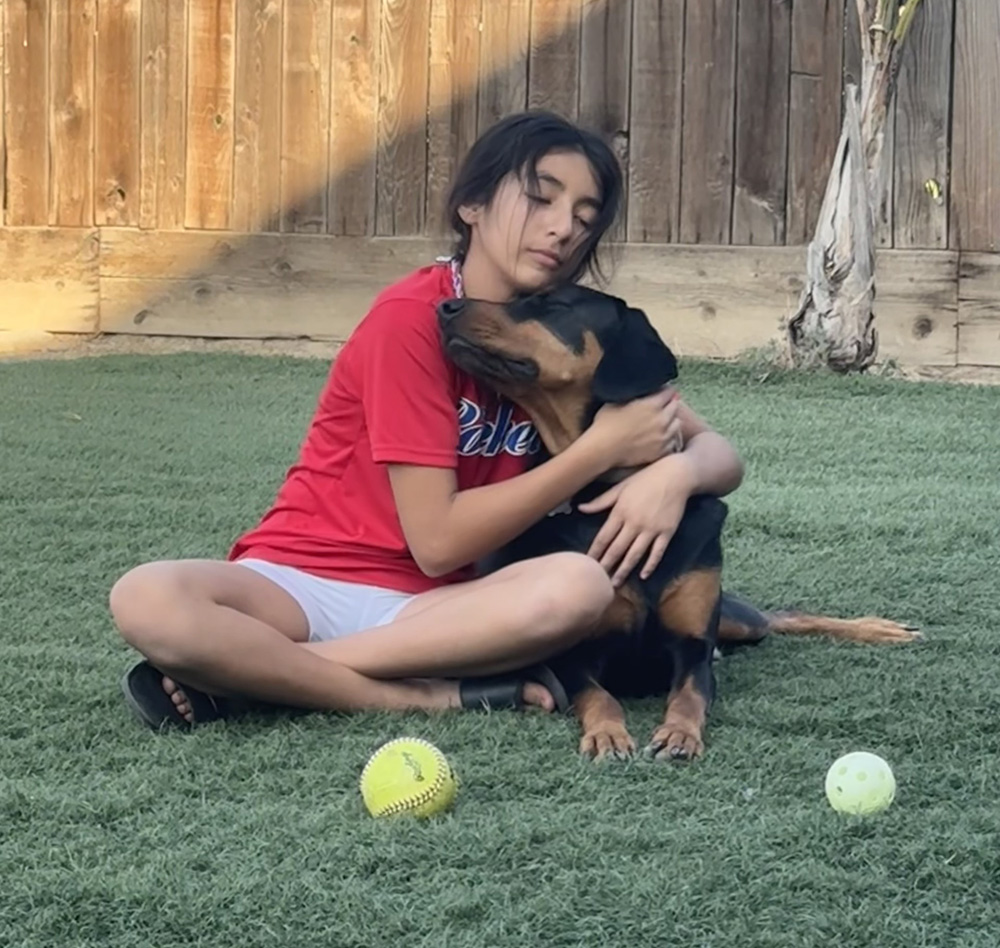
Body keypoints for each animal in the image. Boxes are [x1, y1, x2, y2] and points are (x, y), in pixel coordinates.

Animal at [438, 282, 920, 764]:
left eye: (552, 303)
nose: (446, 307)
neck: (615, 488)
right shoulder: (574, 658)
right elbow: (599, 696)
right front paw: (608, 735)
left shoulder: (693, 646)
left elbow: (689, 693)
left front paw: (679, 734)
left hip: (735, 620)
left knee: (778, 616)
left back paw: (876, 628)